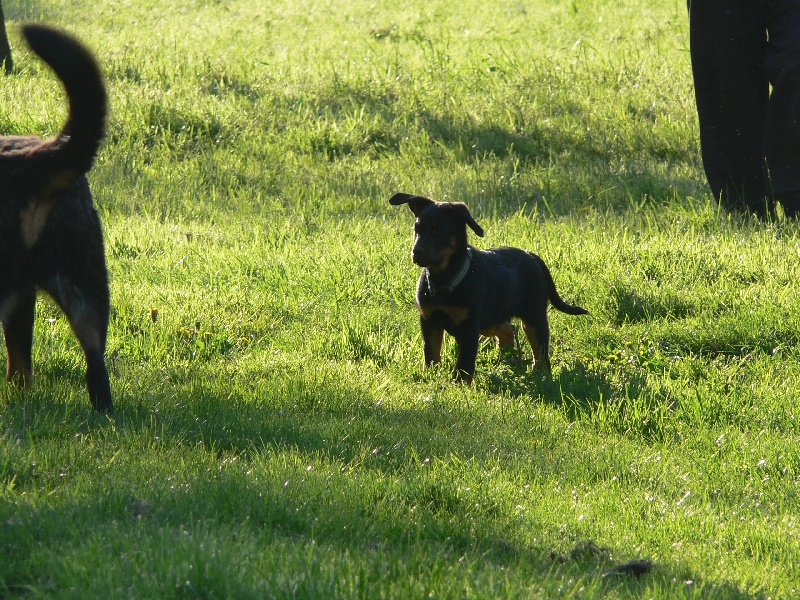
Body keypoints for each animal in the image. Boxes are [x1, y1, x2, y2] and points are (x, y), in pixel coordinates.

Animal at [390, 195, 592, 382]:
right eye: (416, 229)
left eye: (438, 229)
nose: (416, 252)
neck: (444, 279)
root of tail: (532, 256)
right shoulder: (429, 320)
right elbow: (431, 352)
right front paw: (431, 375)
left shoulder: (469, 327)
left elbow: (464, 362)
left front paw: (459, 384)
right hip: (492, 318)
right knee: (507, 331)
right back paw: (509, 361)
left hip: (533, 316)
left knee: (540, 350)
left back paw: (539, 374)